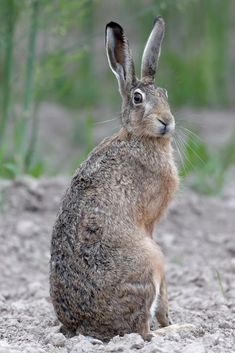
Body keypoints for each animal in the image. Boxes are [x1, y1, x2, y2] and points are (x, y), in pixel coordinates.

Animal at [49, 17, 189, 340]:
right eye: (138, 99)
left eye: (165, 94)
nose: (167, 122)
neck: (139, 137)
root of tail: (85, 328)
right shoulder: (150, 226)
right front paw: (169, 319)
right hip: (148, 259)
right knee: (141, 331)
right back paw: (179, 329)